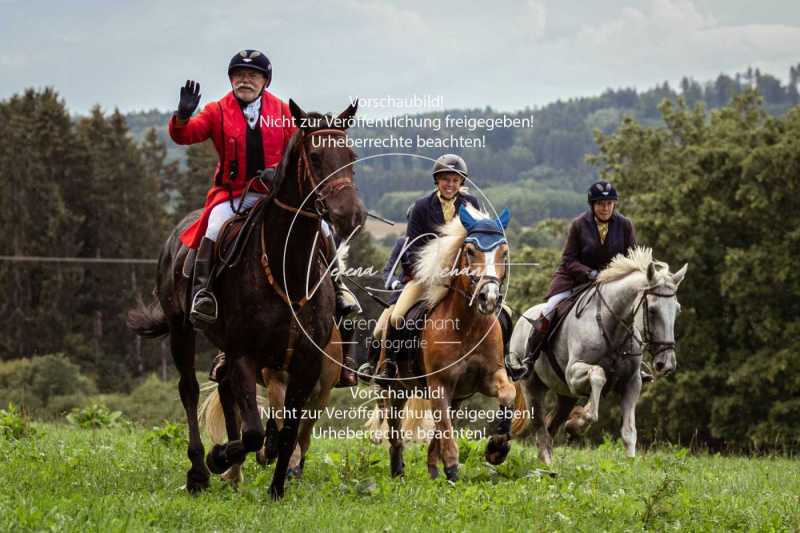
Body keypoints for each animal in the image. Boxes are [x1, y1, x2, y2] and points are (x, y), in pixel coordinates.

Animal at [127, 101, 366, 498]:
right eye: (316, 157)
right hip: (181, 329)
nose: (350, 215)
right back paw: (200, 470)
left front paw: (277, 490)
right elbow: (254, 432)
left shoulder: (306, 366)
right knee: (190, 390)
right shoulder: (245, 356)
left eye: (351, 156)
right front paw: (219, 457)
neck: (288, 272)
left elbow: (287, 433)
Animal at [378, 206, 528, 480]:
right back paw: (398, 471)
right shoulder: (439, 385)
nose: (489, 298)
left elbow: (508, 393)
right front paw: (453, 472)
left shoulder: (490, 377)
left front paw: (497, 447)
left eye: (504, 252)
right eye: (469, 251)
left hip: (457, 395)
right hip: (396, 387)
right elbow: (446, 433)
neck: (468, 326)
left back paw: (433, 471)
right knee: (397, 429)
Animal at [510, 247, 684, 464]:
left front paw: (629, 464)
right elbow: (598, 377)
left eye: (677, 310)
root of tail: (521, 322)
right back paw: (548, 464)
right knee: (541, 430)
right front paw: (578, 422)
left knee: (550, 427)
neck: (613, 327)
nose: (666, 363)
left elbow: (629, 432)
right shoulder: (573, 374)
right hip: (532, 386)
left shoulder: (632, 382)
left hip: (565, 394)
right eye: (652, 310)